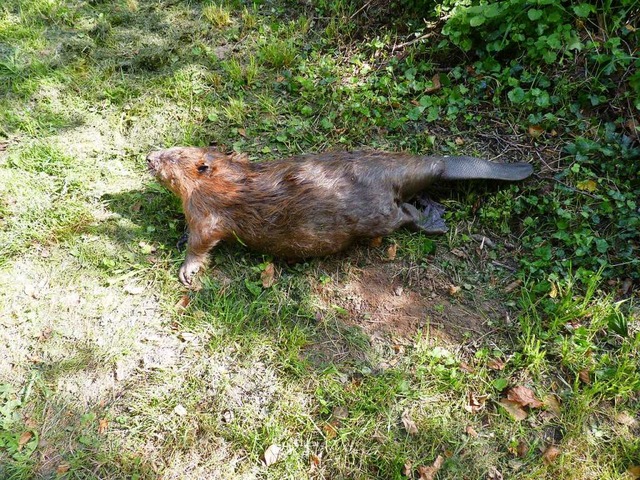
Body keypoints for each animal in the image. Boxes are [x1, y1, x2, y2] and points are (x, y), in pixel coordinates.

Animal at [148, 147, 532, 284]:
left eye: (172, 156)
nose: (149, 157)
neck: (229, 178)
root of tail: (441, 164)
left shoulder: (208, 209)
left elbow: (203, 240)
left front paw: (187, 270)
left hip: (376, 215)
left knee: (403, 214)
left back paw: (431, 221)